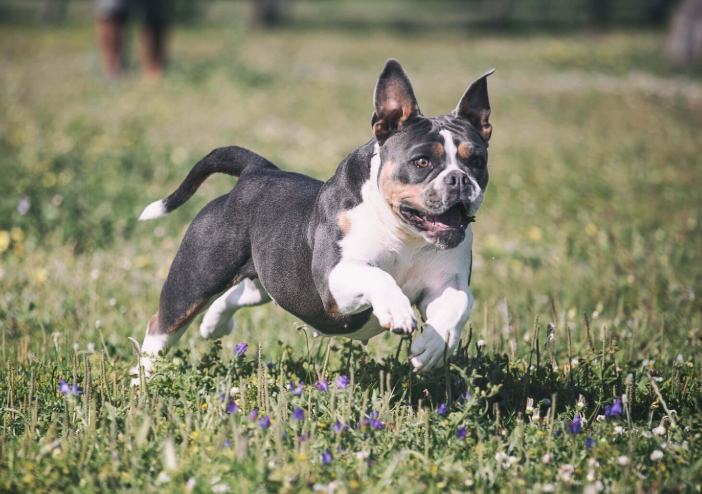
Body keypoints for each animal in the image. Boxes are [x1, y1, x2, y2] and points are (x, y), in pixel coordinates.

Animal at [133, 59, 496, 380]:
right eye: (422, 162)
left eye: (477, 161)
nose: (459, 180)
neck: (404, 233)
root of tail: (255, 171)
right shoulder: (333, 284)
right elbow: (378, 276)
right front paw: (397, 308)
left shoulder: (445, 283)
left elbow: (459, 304)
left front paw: (433, 348)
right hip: (194, 279)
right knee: (161, 327)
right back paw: (144, 380)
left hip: (275, 277)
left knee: (242, 293)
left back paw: (214, 324)